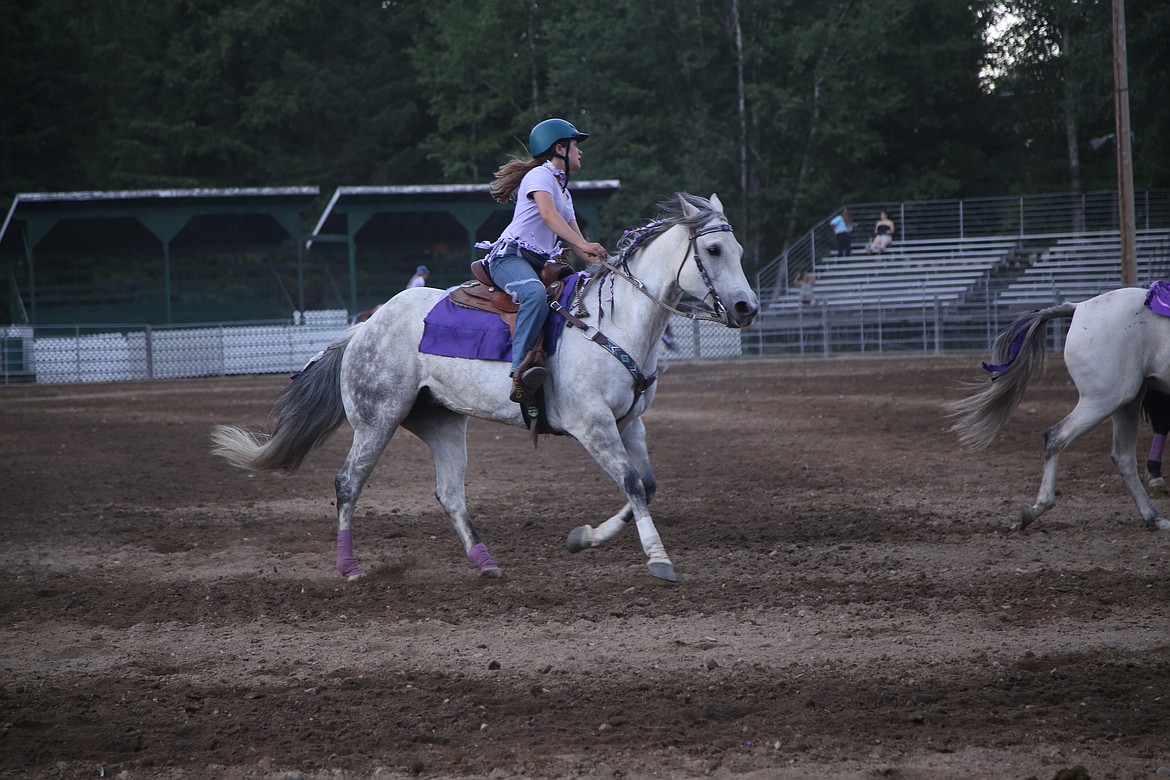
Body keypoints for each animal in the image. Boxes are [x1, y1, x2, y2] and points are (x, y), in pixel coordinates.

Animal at [945, 284, 1170, 533]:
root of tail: (1079, 307)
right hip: (1105, 398)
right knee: (1056, 436)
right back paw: (1037, 508)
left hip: (1127, 400)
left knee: (1124, 456)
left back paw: (1154, 517)